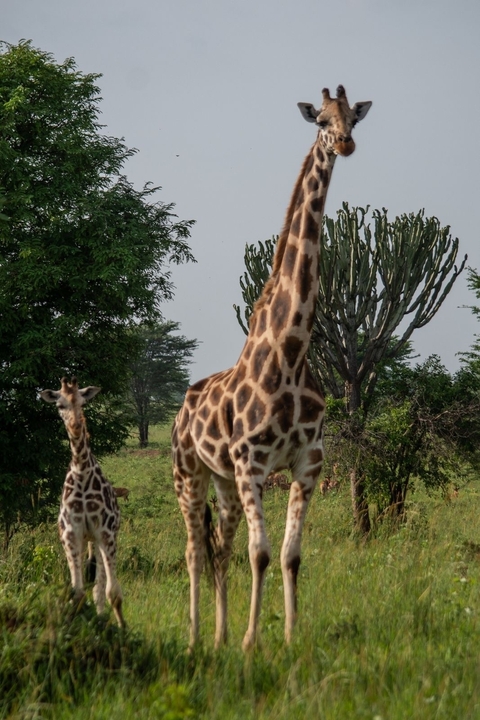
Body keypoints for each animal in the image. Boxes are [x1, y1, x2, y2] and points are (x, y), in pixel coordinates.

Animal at [40, 377, 124, 627]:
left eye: (82, 402)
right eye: (60, 405)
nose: (76, 425)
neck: (81, 471)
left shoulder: (105, 532)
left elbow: (112, 592)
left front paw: (121, 628)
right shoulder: (70, 533)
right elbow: (76, 592)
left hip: (100, 539)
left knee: (100, 587)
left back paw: (103, 617)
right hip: (87, 539)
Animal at [172, 85, 372, 650]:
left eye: (353, 119)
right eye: (321, 120)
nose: (345, 143)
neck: (291, 353)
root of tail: (179, 410)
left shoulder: (307, 465)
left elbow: (289, 555)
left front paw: (287, 635)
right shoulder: (253, 464)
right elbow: (259, 554)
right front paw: (250, 642)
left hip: (222, 481)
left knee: (219, 548)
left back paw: (217, 634)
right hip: (189, 473)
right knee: (195, 552)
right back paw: (197, 638)